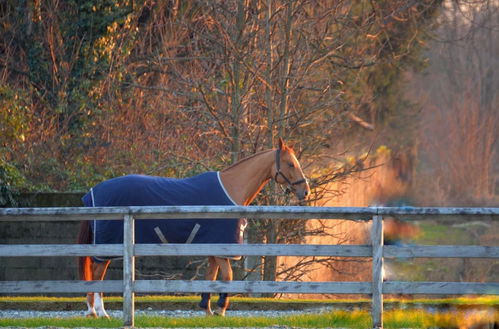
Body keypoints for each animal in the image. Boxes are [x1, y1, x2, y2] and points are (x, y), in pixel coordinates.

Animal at [76, 138, 310, 316]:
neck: (231, 188)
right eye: (290, 164)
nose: (305, 191)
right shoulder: (223, 247)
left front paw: (207, 309)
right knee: (97, 273)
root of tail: (93, 193)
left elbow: (211, 277)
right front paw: (220, 310)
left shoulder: (213, 247)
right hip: (108, 245)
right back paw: (99, 312)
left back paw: (94, 311)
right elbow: (227, 277)